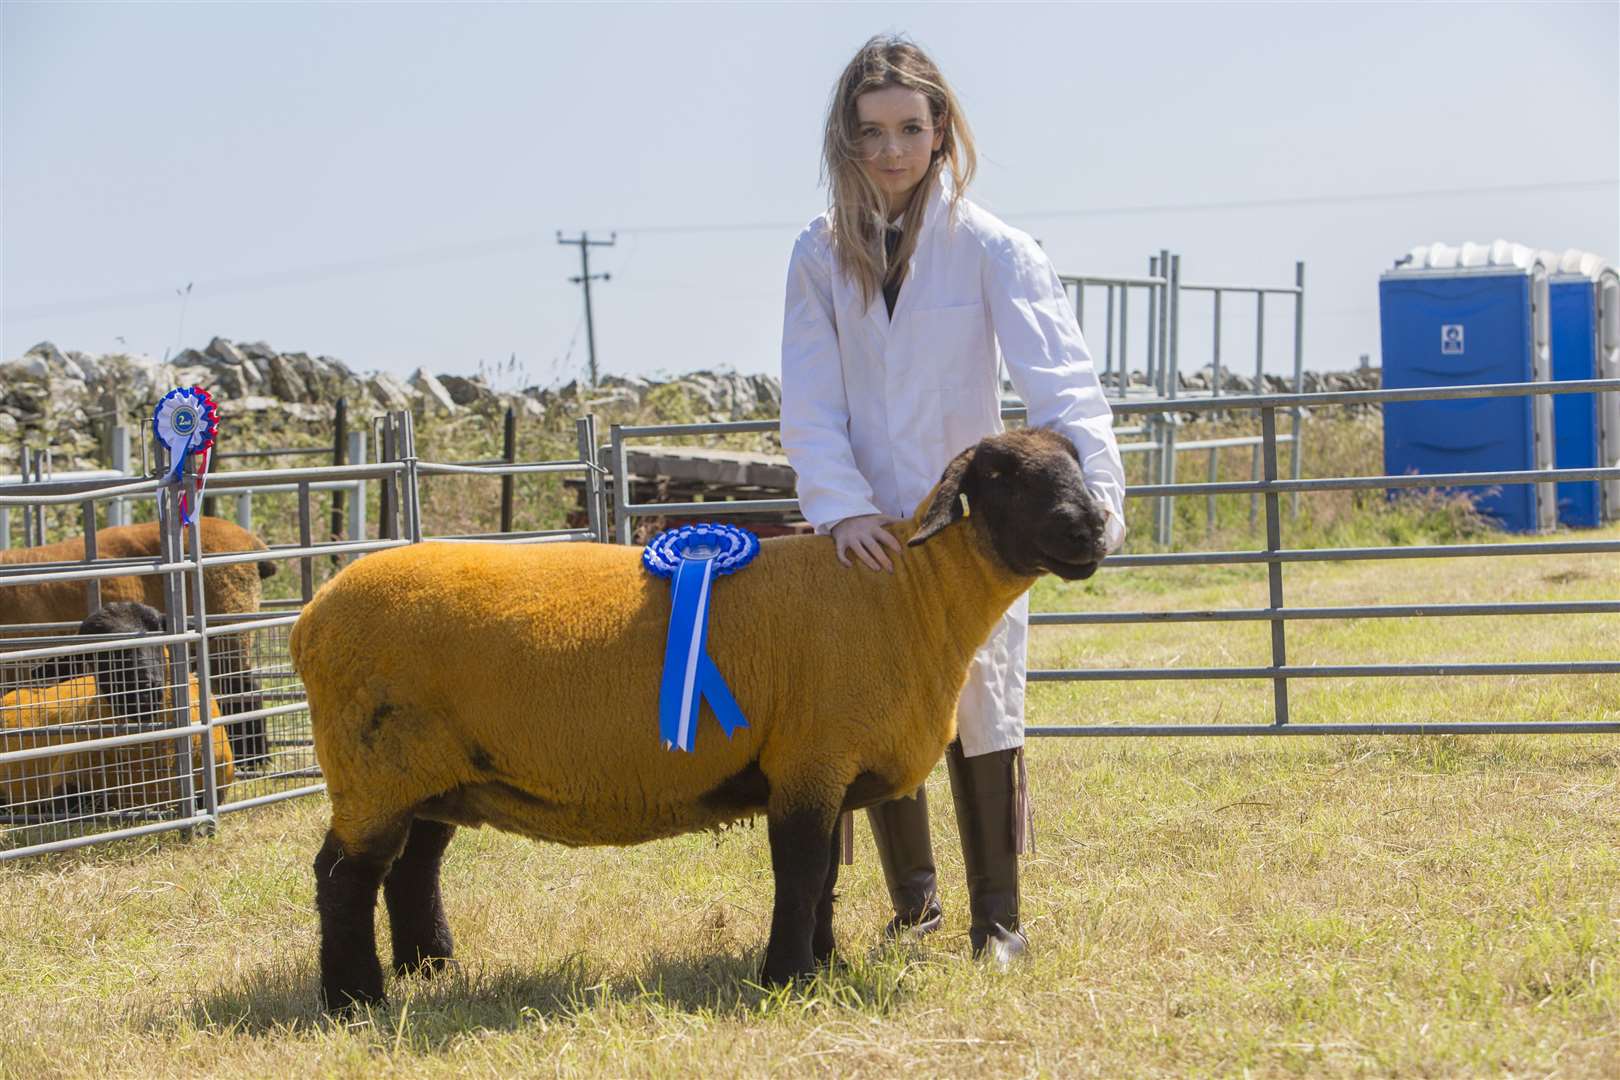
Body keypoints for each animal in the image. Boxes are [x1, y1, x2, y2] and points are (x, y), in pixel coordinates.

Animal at [291, 427, 1108, 1016]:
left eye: (1074, 463)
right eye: (1001, 476)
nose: (1093, 529)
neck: (908, 593)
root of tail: (310, 618)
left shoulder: (821, 764)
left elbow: (822, 877)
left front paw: (825, 963)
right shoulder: (810, 760)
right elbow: (800, 869)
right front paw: (786, 978)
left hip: (434, 767)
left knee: (412, 866)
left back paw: (432, 970)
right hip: (374, 764)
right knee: (344, 876)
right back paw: (354, 999)